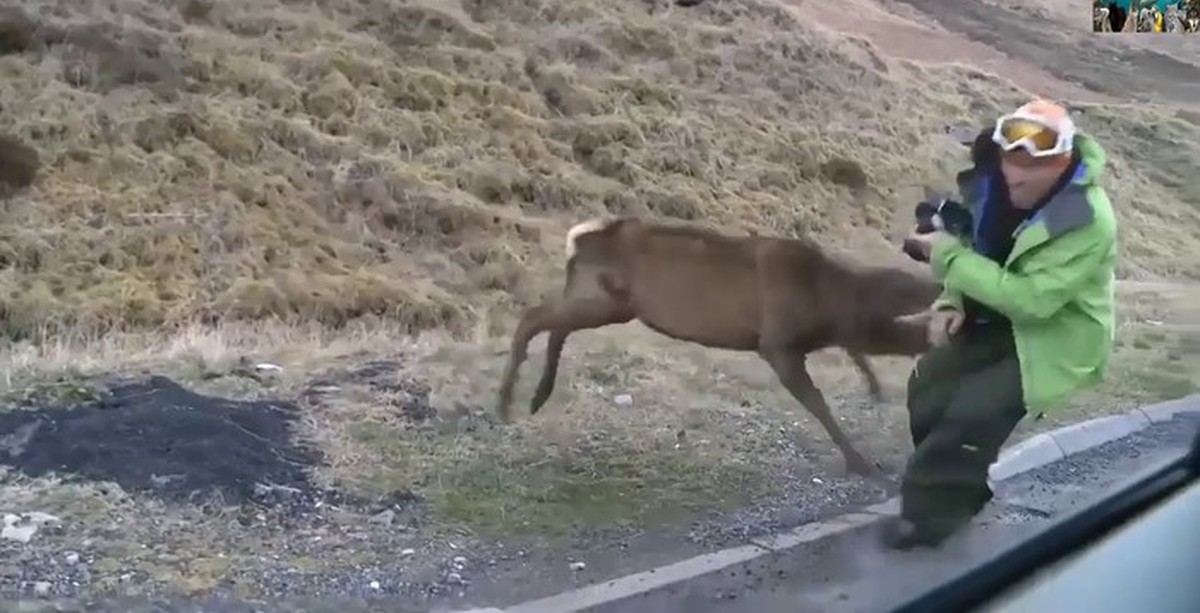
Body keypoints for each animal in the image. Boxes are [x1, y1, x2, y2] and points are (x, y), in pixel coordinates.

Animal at [492, 217, 940, 479]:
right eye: (914, 293)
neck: (828, 306)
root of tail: (577, 240)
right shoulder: (776, 343)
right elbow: (819, 404)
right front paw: (860, 462)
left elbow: (855, 357)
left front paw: (875, 391)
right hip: (603, 299)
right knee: (533, 318)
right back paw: (506, 402)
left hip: (607, 303)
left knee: (554, 326)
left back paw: (536, 395)